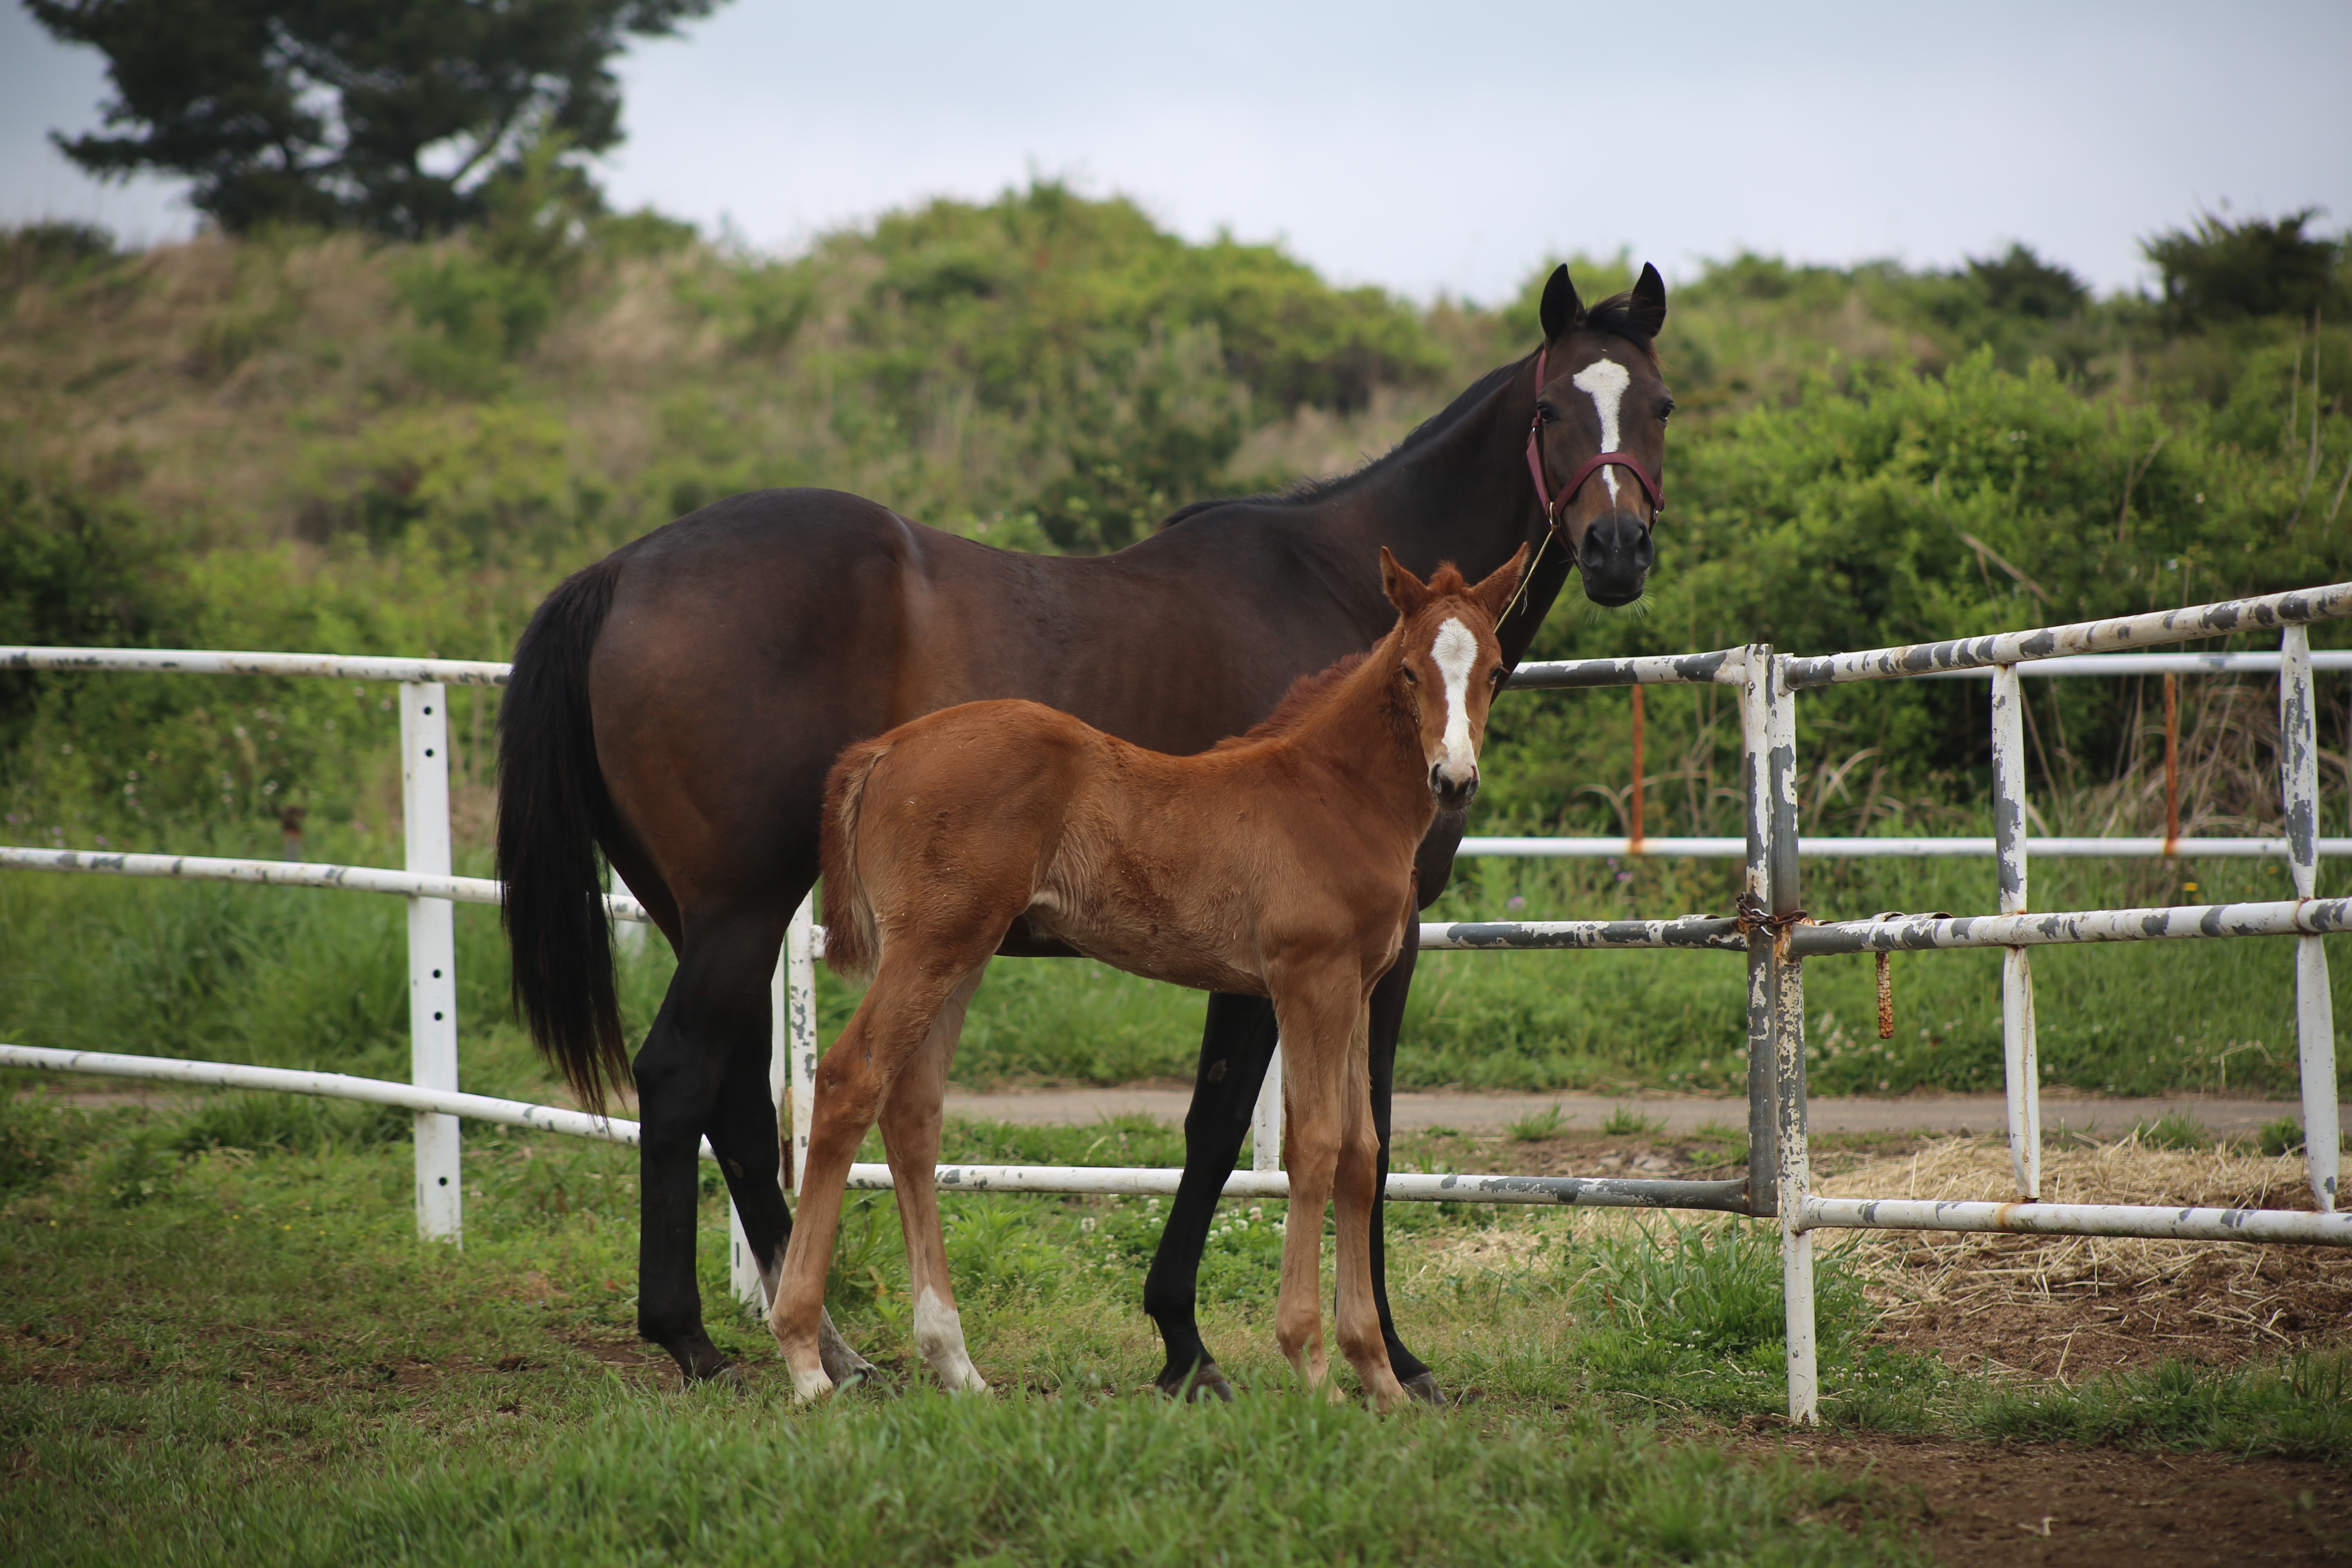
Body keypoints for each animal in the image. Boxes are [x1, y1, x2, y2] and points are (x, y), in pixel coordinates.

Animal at [771, 545, 1524, 1401]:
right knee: (848, 1080)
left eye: (1496, 670)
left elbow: (1362, 1155)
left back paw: (957, 1364)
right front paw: (1313, 1366)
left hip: (960, 953)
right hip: (930, 946)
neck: (1334, 792)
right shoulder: (1310, 980)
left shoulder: (1359, 988)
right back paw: (806, 1361)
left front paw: (1382, 1380)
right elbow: (1317, 1146)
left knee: (912, 1111)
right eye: (1407, 670)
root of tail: (883, 752)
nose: (1454, 780)